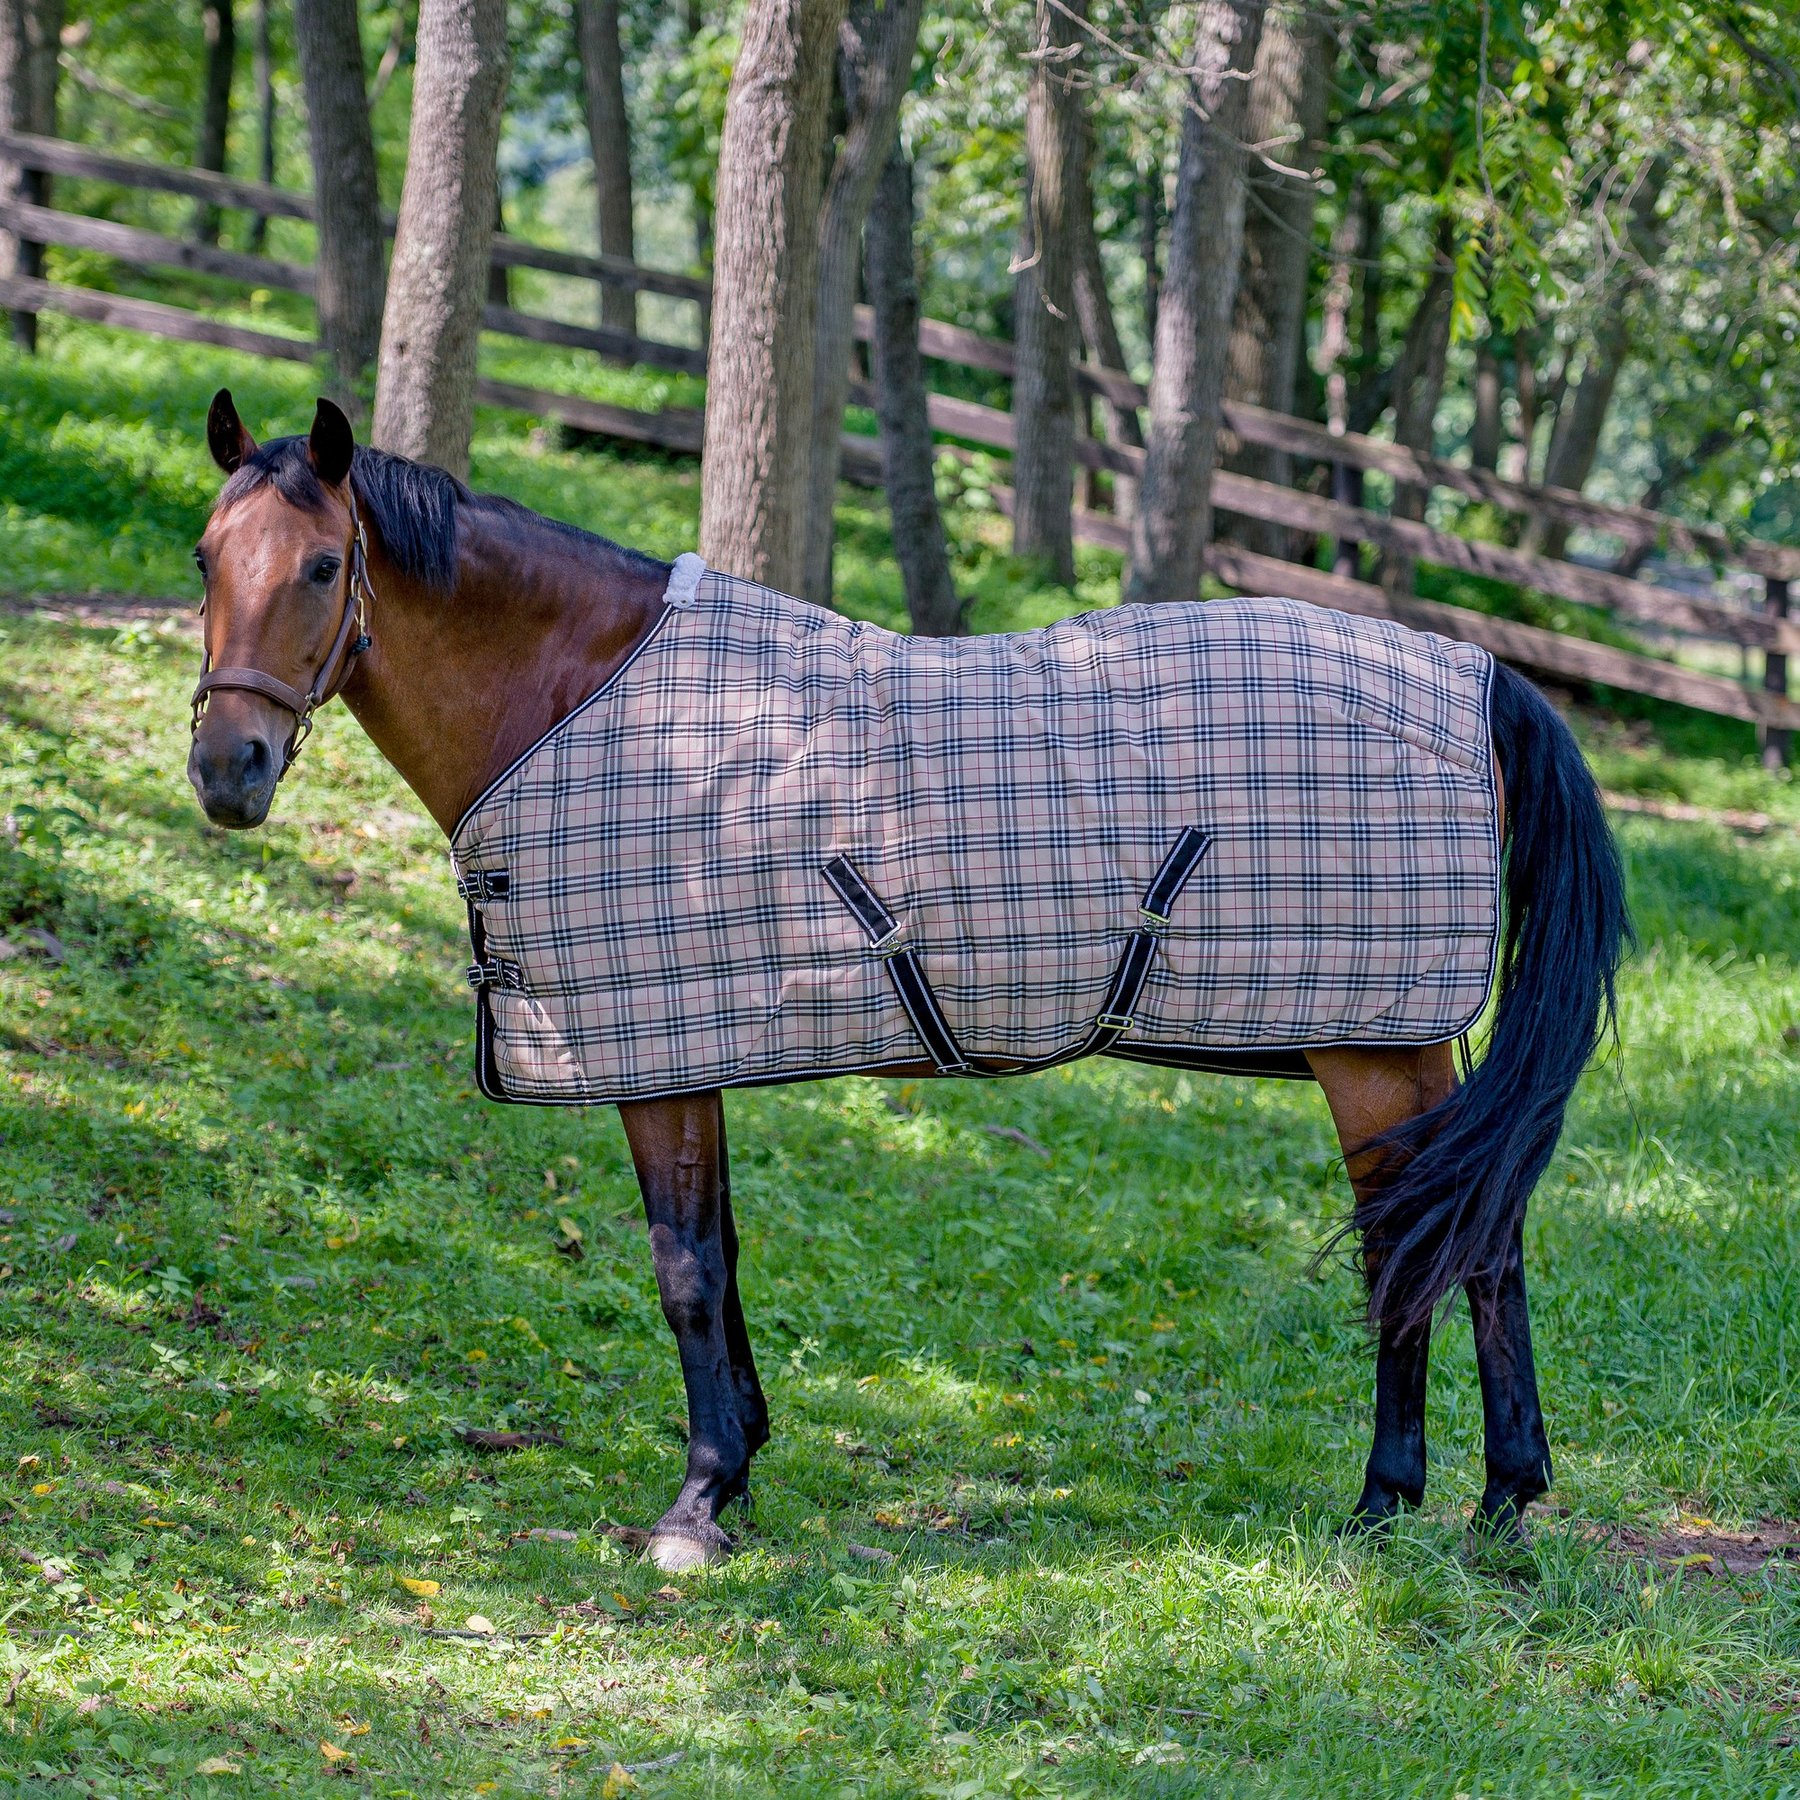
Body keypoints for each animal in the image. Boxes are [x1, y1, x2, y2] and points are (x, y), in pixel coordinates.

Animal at [186, 391, 1629, 1572]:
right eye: (205, 557)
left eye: (323, 566)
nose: (226, 771)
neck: (577, 698)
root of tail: (1484, 677)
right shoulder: (697, 1038)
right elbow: (725, 1253)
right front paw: (743, 1461)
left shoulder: (658, 1051)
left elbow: (685, 1266)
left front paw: (698, 1502)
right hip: (1390, 1043)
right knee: (1460, 1239)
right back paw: (1467, 1500)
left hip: (1375, 1040)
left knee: (1437, 1248)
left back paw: (1428, 1502)